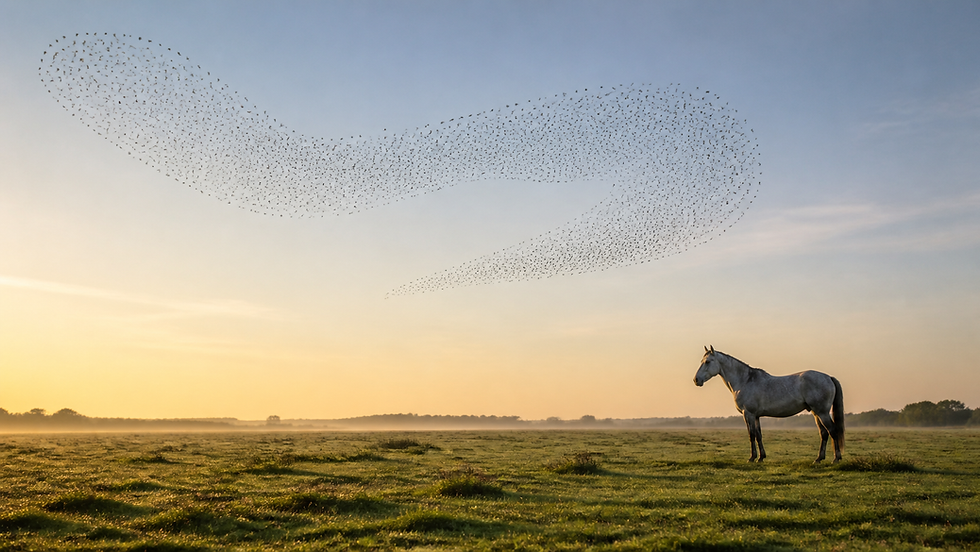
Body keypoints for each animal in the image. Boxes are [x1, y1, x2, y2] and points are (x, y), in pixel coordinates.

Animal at [693, 345, 844, 463]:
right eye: (702, 361)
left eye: (707, 361)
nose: (696, 380)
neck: (745, 380)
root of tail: (828, 377)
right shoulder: (756, 416)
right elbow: (758, 435)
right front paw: (761, 457)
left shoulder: (748, 414)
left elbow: (751, 435)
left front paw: (752, 458)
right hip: (815, 412)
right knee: (824, 433)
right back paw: (818, 459)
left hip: (822, 412)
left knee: (832, 431)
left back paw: (836, 458)